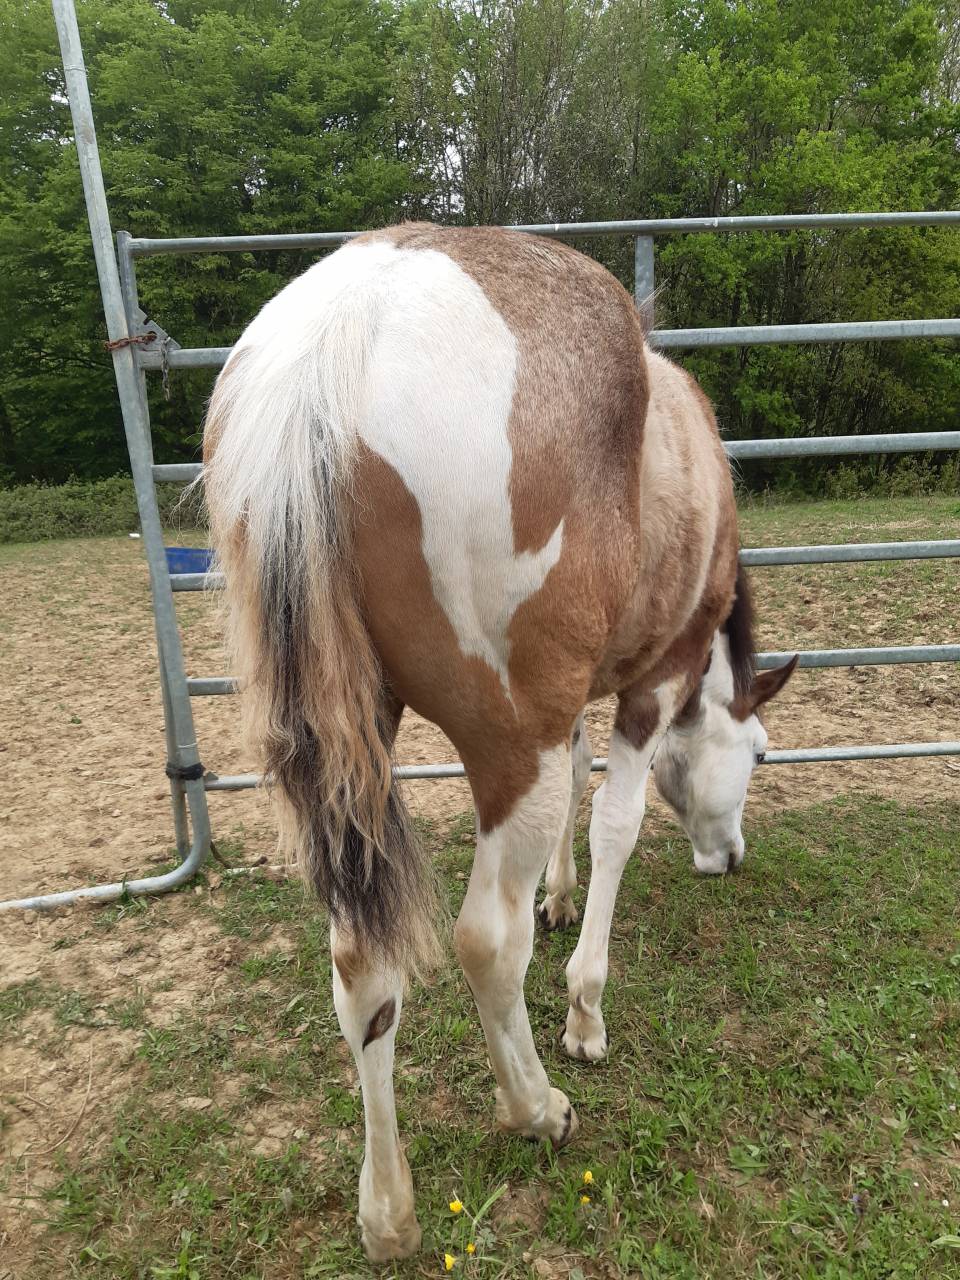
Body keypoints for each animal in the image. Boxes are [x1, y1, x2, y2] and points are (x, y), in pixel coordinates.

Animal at [202, 222, 797, 1261]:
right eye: (758, 753)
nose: (729, 858)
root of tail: (339, 335)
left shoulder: (572, 706)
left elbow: (577, 789)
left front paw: (559, 896)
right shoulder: (653, 681)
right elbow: (614, 827)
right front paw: (586, 1010)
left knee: (360, 965)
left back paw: (387, 1210)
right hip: (508, 747)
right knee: (485, 942)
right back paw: (534, 1108)